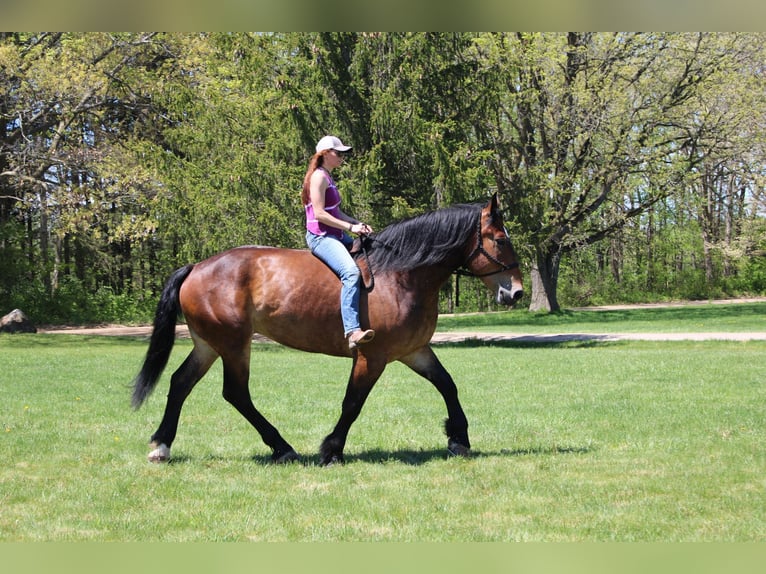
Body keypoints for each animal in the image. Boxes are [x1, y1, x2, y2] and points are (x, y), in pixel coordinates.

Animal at [135, 196, 524, 466]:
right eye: (500, 240)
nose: (517, 292)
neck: (400, 274)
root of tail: (197, 266)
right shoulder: (372, 355)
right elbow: (353, 402)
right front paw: (332, 449)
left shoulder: (414, 350)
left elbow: (447, 384)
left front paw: (459, 438)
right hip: (232, 344)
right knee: (235, 393)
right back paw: (282, 448)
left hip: (209, 344)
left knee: (180, 383)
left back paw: (162, 446)